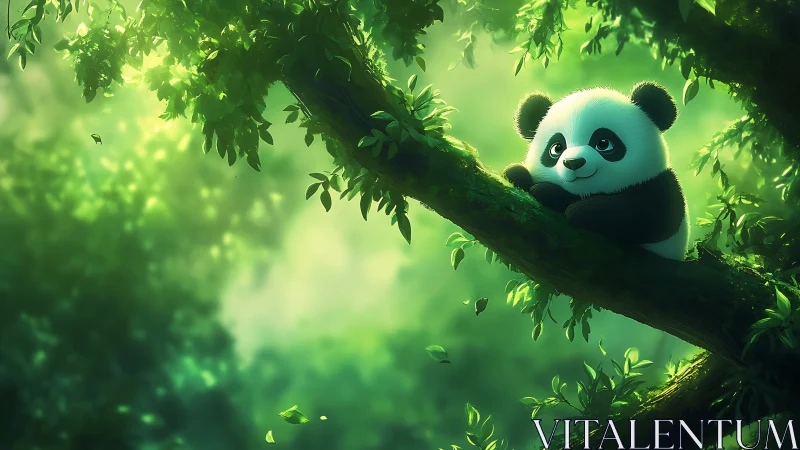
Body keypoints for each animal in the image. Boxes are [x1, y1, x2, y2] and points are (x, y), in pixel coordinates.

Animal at [503, 82, 689, 261]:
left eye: (603, 144)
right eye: (556, 148)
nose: (573, 163)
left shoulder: (662, 184)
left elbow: (647, 216)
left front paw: (552, 194)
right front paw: (517, 174)